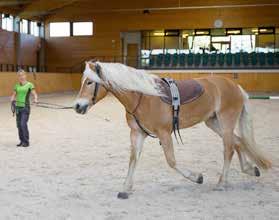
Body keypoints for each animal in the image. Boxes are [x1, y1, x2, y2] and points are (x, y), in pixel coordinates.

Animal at [73, 60, 272, 199]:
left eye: (89, 82)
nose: (77, 106)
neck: (144, 97)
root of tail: (235, 86)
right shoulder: (137, 134)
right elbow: (133, 159)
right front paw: (125, 189)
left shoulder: (164, 134)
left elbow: (171, 161)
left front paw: (196, 177)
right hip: (214, 122)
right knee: (238, 142)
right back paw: (249, 169)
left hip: (226, 121)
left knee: (229, 149)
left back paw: (222, 183)